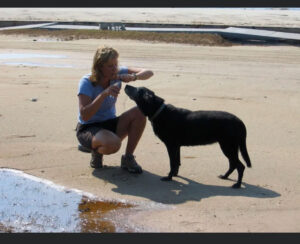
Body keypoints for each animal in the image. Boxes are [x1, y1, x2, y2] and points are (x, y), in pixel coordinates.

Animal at [123, 85, 251, 188]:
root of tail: (239, 121)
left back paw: (237, 185)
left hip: (228, 146)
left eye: (138, 90)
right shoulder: (177, 146)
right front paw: (175, 174)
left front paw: (169, 177)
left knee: (240, 166)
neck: (160, 111)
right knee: (233, 164)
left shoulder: (171, 145)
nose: (126, 85)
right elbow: (177, 162)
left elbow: (172, 162)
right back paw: (225, 176)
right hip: (229, 146)